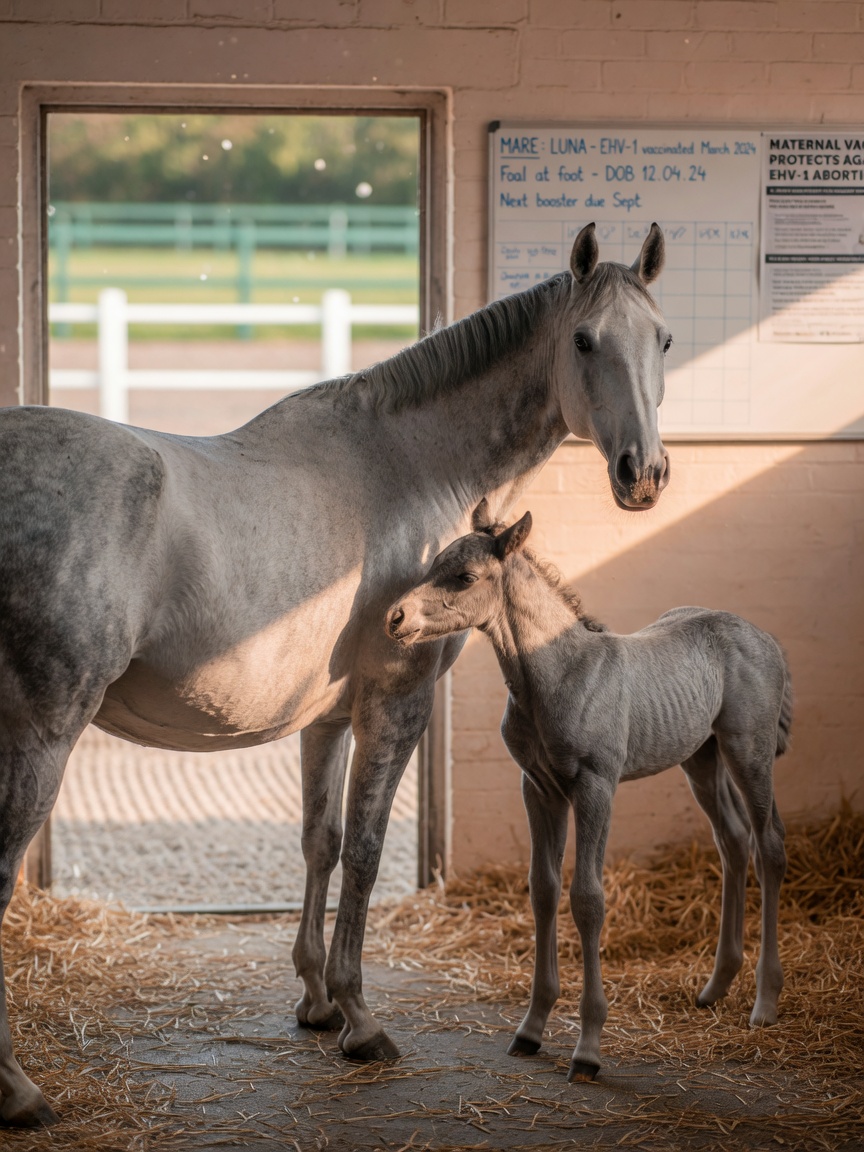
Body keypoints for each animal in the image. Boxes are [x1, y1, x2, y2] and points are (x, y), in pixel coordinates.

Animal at [0, 222, 671, 1126]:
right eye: (584, 340)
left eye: (662, 340)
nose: (644, 475)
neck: (409, 465)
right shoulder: (397, 701)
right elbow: (364, 847)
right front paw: (360, 1019)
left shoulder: (325, 716)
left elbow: (319, 841)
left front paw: (317, 1002)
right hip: (41, 738)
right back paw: (20, 1090)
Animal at [387, 504, 790, 1083]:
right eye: (433, 563)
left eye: (464, 576)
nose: (394, 620)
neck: (557, 676)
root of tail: (764, 637)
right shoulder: (539, 788)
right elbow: (543, 889)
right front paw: (531, 1028)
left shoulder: (595, 787)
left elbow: (587, 899)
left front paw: (588, 1048)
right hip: (701, 756)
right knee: (734, 840)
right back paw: (715, 987)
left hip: (748, 751)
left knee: (769, 846)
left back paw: (764, 1002)